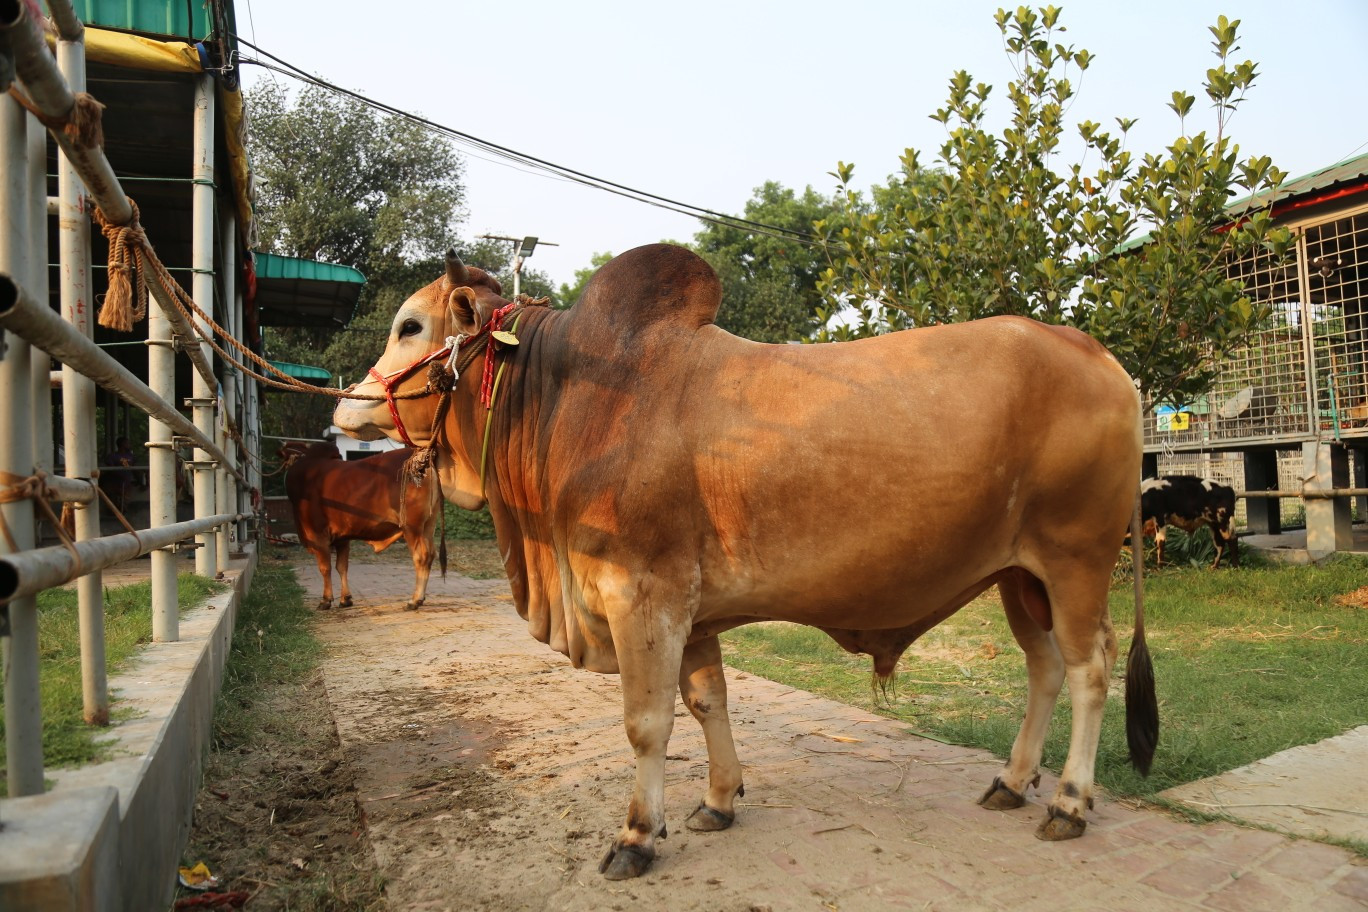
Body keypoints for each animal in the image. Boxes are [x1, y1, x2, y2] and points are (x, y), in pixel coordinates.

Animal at [283, 441, 444, 611]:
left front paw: (326, 600)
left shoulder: (318, 535)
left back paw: (414, 600)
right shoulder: (342, 538)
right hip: (428, 526)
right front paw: (345, 599)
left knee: (421, 556)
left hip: (412, 527)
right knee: (430, 555)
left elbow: (325, 568)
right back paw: (420, 598)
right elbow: (342, 567)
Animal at [332, 244, 1154, 880]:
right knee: (1044, 668)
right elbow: (707, 703)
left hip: (1075, 560)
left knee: (1089, 669)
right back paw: (1012, 782)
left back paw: (1069, 803)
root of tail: (1101, 357)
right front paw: (717, 801)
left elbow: (646, 724)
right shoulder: (690, 612)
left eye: (410, 326)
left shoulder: (643, 595)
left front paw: (637, 835)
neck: (569, 400)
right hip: (1020, 577)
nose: (344, 405)